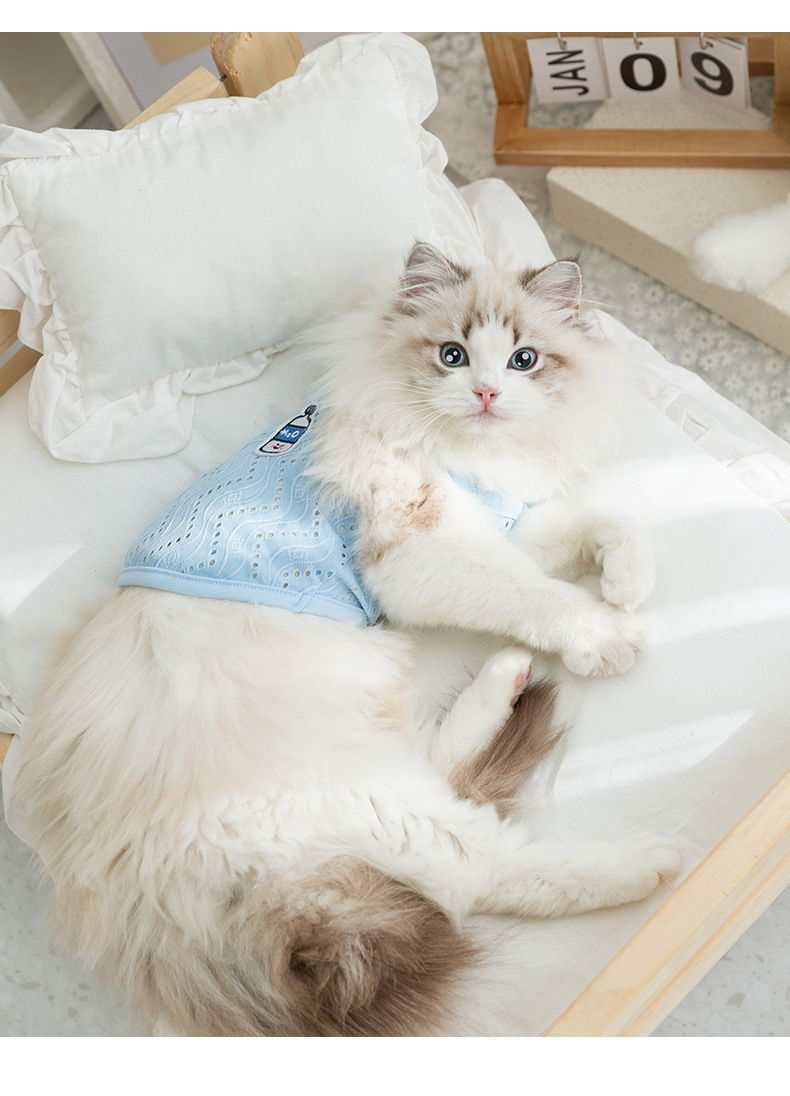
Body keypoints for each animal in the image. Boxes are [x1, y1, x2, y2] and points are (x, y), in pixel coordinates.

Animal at [13, 243, 678, 1037]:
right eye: (453, 356)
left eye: (524, 359)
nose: (487, 393)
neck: (462, 452)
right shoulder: (424, 556)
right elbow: (538, 594)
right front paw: (609, 633)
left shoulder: (490, 531)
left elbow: (598, 525)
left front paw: (628, 581)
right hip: (370, 800)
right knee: (479, 870)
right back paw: (652, 864)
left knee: (451, 769)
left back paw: (510, 675)